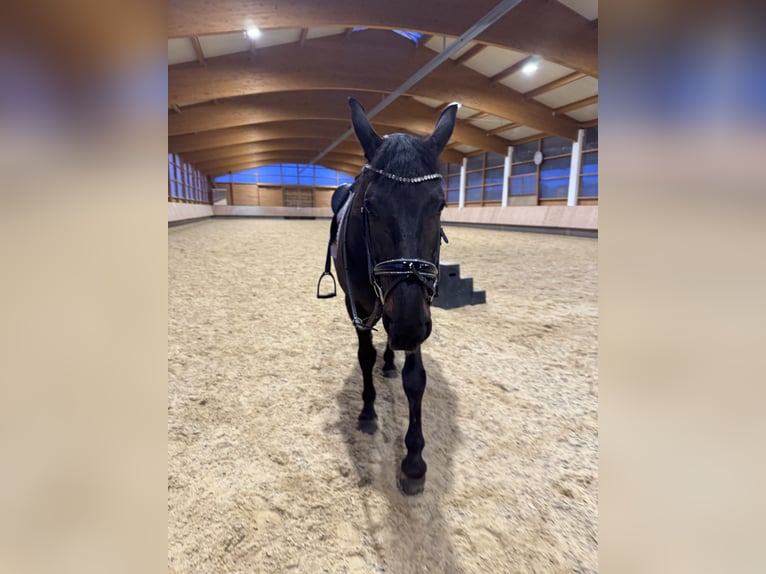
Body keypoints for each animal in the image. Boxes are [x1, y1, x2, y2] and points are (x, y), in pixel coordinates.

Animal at [318, 97, 459, 495]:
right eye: (371, 206)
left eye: (440, 205)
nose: (408, 328)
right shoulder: (359, 306)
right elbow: (364, 356)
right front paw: (367, 412)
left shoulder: (420, 308)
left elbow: (416, 378)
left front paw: (413, 462)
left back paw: (391, 361)